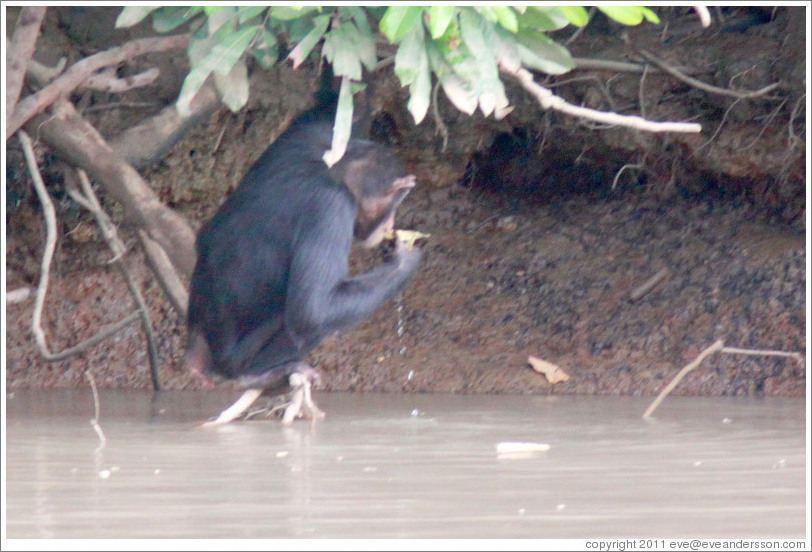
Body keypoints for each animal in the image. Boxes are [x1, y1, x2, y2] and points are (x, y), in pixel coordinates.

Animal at [186, 100, 422, 426]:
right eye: (395, 204)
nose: (391, 222)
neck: (334, 172)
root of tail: (197, 355)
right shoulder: (332, 207)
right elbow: (313, 309)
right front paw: (405, 261)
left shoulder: (305, 134)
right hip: (236, 358)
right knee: (307, 322)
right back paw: (259, 375)